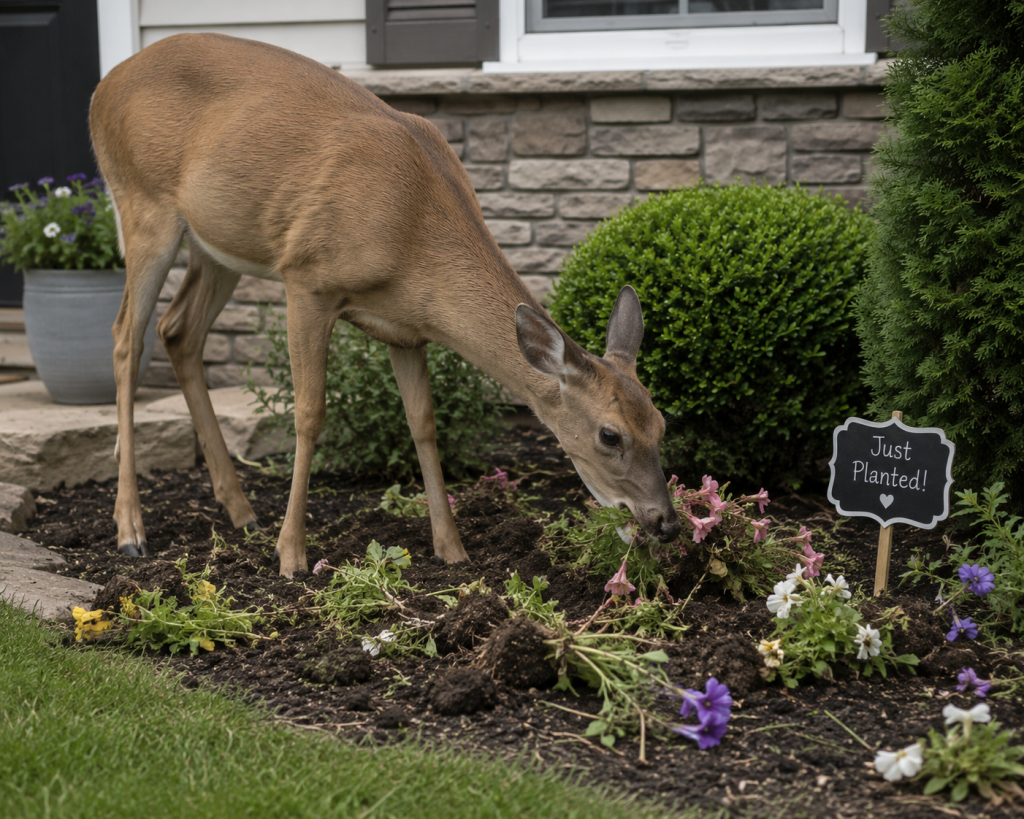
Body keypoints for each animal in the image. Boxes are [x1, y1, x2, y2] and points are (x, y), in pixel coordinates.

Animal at [88, 32, 681, 577]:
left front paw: (451, 549)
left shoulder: (405, 327)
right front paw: (292, 555)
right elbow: (310, 412)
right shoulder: (306, 279)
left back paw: (241, 510)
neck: (412, 232)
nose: (665, 523)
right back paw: (131, 530)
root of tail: (102, 87)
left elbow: (423, 422)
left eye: (662, 424)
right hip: (143, 206)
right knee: (124, 338)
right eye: (610, 435)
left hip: (217, 244)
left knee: (178, 330)